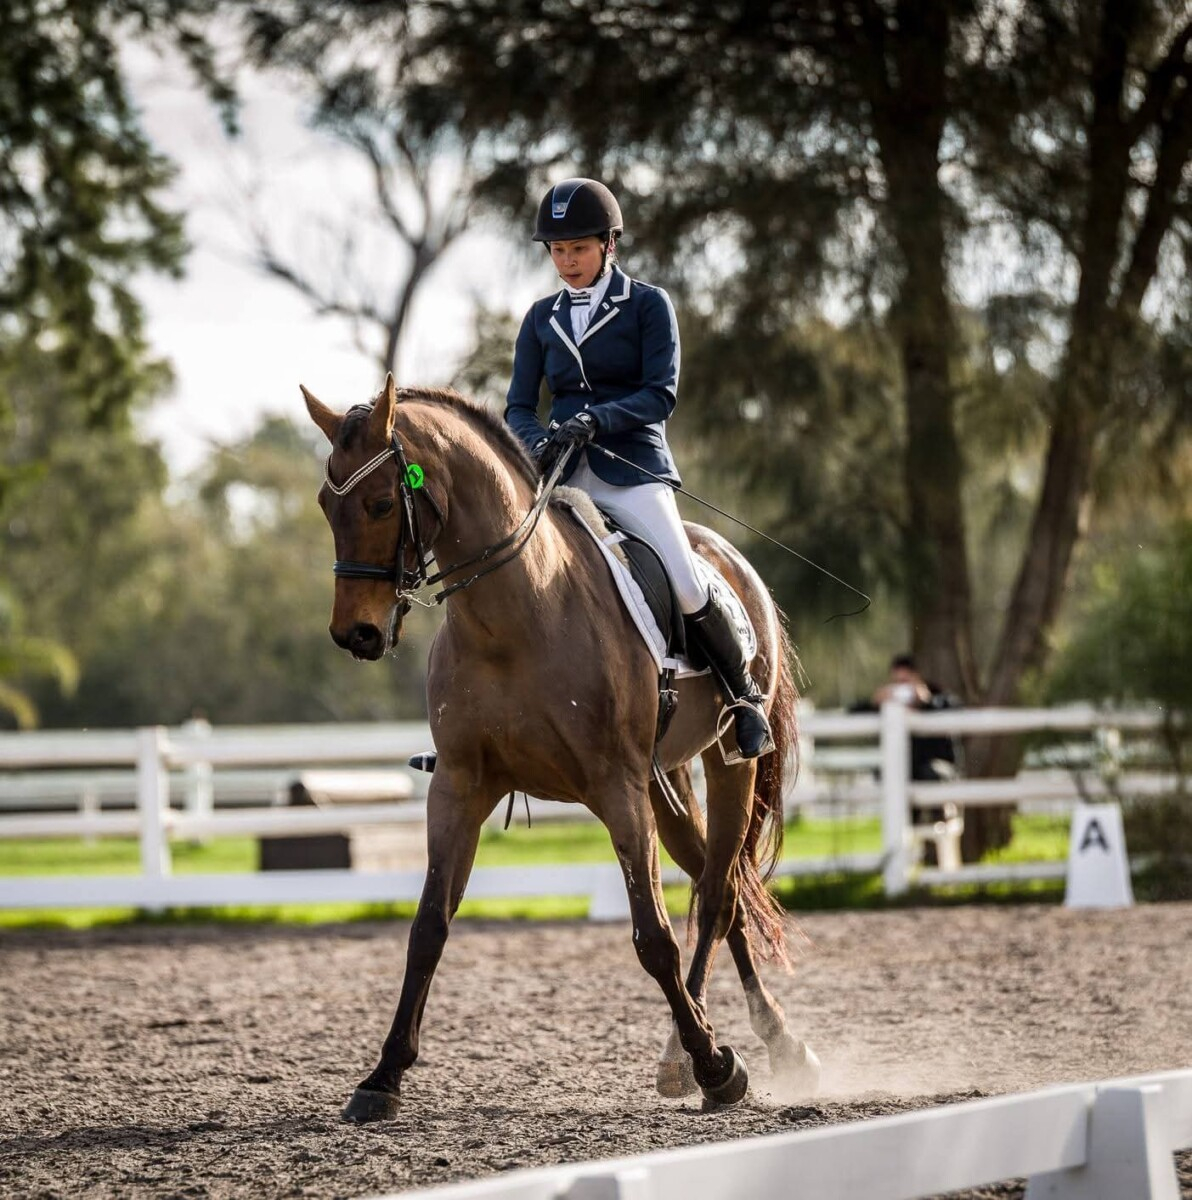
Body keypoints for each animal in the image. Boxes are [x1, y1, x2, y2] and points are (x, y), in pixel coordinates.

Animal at [301, 374, 821, 1122]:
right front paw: (382, 1076)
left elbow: (652, 938)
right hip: (663, 784)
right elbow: (428, 929)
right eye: (325, 504)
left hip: (729, 766)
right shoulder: (459, 786)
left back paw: (721, 1054)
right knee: (710, 887)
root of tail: (731, 561)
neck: (514, 616)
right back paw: (724, 1048)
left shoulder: (615, 789)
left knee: (719, 896)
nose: (357, 635)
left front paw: (717, 1066)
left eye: (378, 502)